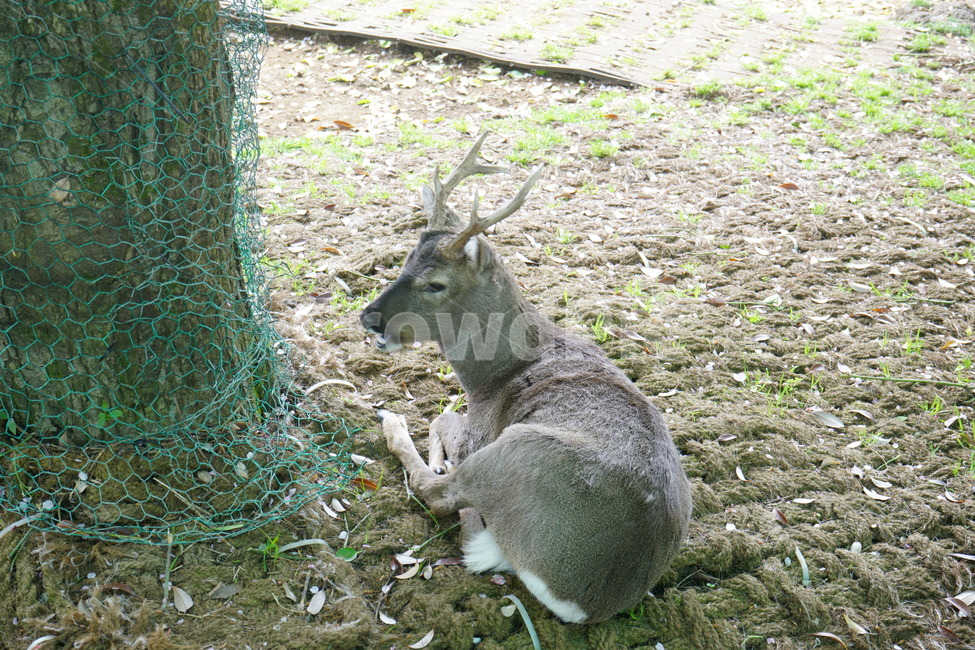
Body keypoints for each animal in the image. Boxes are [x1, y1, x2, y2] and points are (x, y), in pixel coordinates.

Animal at [359, 132, 692, 624]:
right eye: (404, 262)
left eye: (435, 283)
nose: (369, 318)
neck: (493, 374)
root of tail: (585, 602)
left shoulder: (480, 430)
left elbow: (442, 419)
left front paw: (433, 449)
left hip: (515, 451)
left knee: (438, 496)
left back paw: (396, 425)